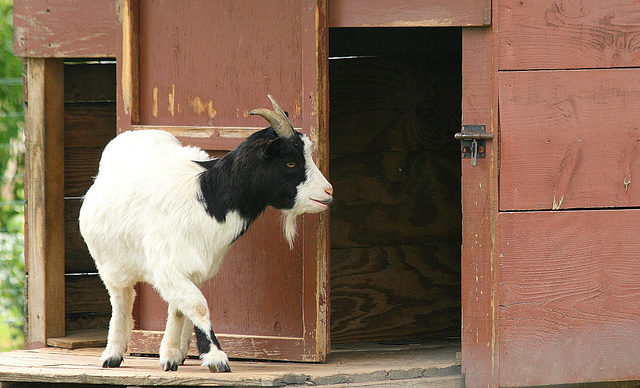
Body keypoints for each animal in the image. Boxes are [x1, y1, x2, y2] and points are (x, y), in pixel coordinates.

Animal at [79, 94, 336, 372]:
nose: (328, 191)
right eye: (290, 162)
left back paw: (174, 352)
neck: (208, 199)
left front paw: (171, 355)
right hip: (108, 262)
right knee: (122, 299)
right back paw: (112, 355)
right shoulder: (168, 266)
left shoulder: (193, 268)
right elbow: (198, 306)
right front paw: (215, 357)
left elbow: (182, 308)